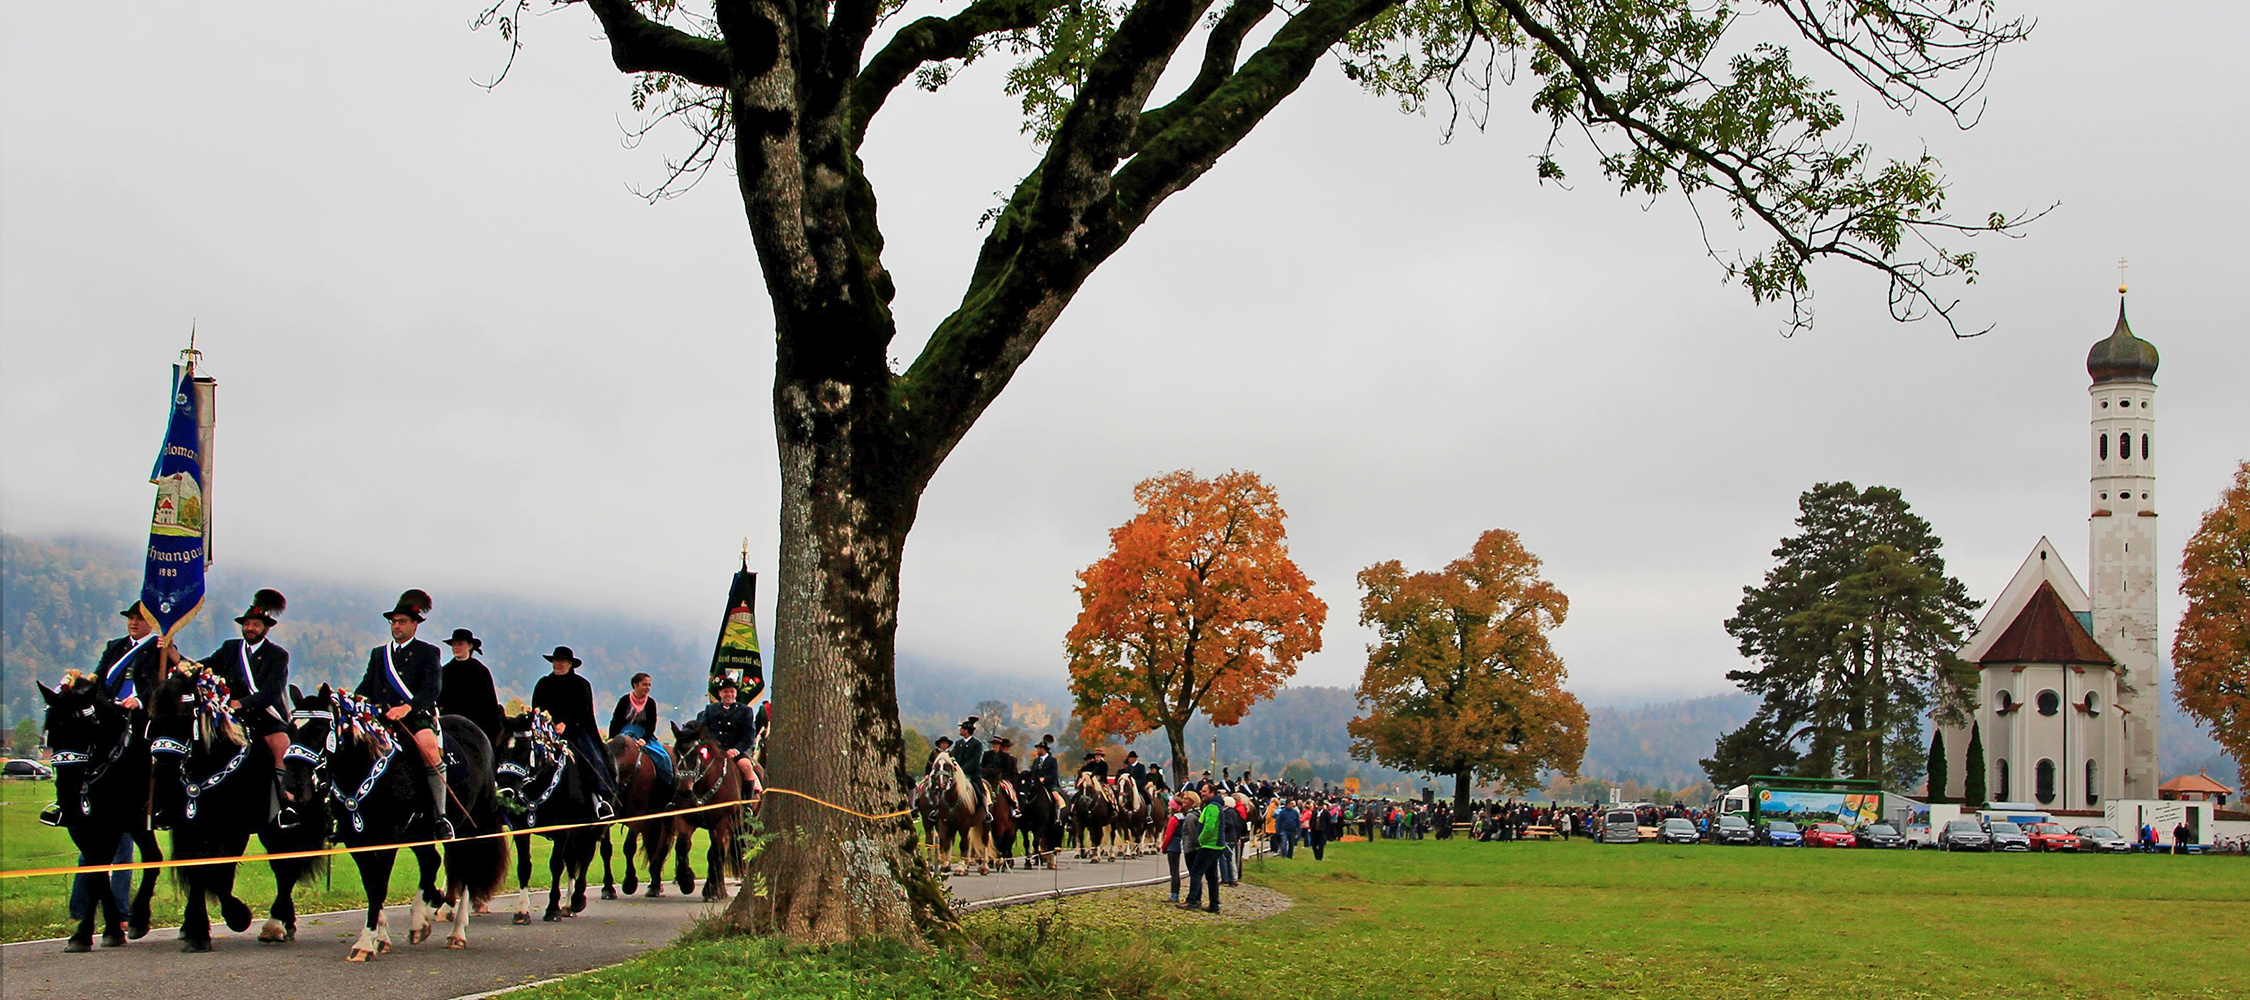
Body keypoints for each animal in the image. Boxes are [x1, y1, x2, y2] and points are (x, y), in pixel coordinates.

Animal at [38, 675, 163, 950]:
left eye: (87, 727)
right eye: (51, 730)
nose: (69, 796)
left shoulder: (120, 825)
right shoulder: (86, 829)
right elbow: (96, 873)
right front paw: (96, 932)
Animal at [326, 689, 506, 954]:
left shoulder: (388, 838)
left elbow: (378, 885)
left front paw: (366, 943)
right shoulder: (357, 841)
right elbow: (371, 883)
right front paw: (378, 937)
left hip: (469, 826)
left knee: (464, 870)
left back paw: (456, 932)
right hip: (420, 833)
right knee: (433, 861)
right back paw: (422, 917)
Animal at [661, 720, 742, 900]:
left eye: (695, 754)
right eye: (676, 753)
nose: (684, 791)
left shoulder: (721, 824)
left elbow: (715, 853)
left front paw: (712, 890)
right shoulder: (685, 820)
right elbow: (682, 845)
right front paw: (686, 881)